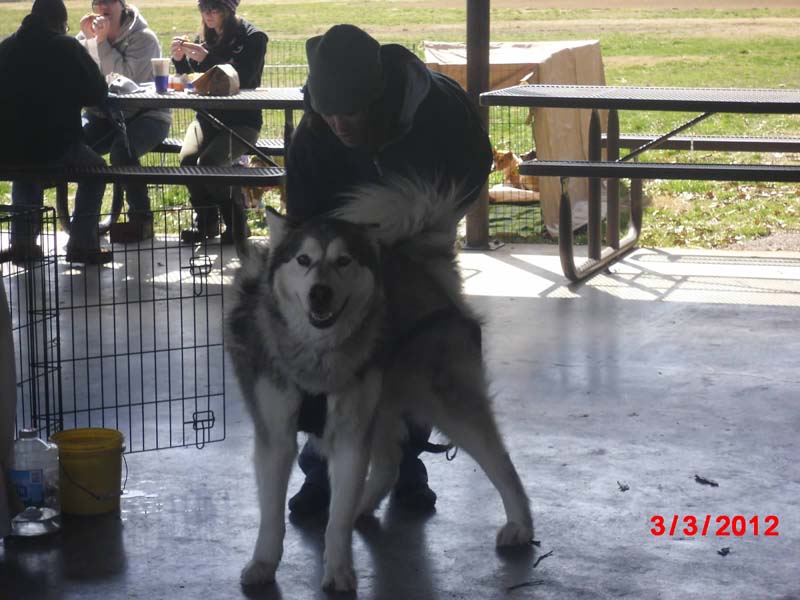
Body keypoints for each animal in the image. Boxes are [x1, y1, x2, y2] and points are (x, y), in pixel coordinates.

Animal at [225, 177, 536, 592]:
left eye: (343, 261)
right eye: (303, 260)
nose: (319, 292)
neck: (318, 353)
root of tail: (419, 262)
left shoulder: (351, 434)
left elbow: (338, 519)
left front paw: (339, 568)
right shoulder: (276, 434)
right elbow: (272, 514)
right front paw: (262, 563)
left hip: (447, 402)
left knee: (499, 461)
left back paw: (520, 524)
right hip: (381, 403)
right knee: (389, 462)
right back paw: (361, 505)